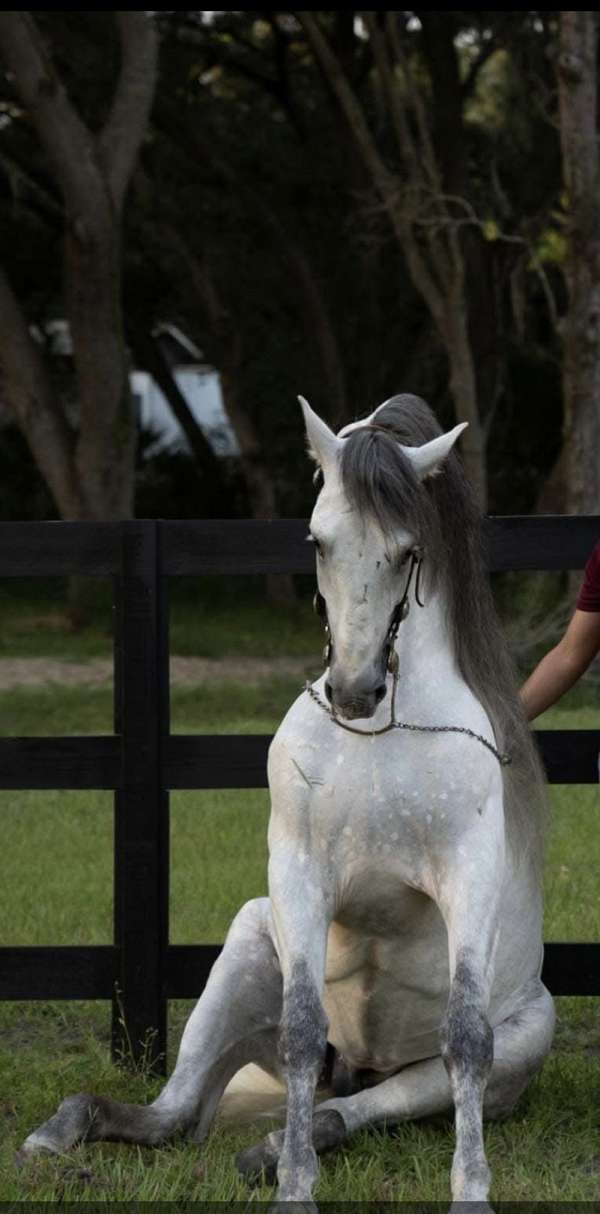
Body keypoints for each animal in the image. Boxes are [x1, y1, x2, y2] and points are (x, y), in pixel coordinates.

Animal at [18, 393, 554, 1206]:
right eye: (318, 539)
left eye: (408, 549)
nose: (355, 690)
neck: (379, 735)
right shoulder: (299, 874)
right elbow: (301, 1030)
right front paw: (296, 1189)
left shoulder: (469, 878)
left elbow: (467, 1037)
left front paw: (470, 1188)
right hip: (247, 942)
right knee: (176, 1113)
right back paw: (64, 1132)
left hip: (521, 1035)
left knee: (366, 1104)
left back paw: (272, 1147)